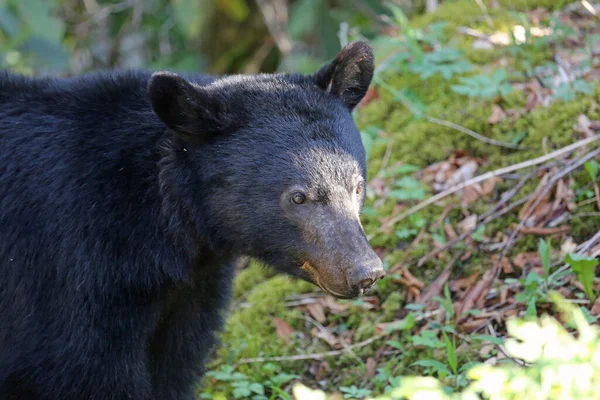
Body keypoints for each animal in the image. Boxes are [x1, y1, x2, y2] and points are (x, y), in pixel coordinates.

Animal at [0, 41, 384, 400]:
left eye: (357, 186)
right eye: (298, 197)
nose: (365, 271)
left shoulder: (193, 289)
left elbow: (176, 363)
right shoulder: (65, 269)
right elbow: (81, 367)